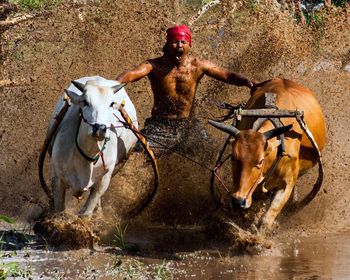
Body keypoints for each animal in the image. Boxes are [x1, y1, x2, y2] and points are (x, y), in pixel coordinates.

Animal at [48, 76, 138, 217]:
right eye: (85, 102)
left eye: (111, 103)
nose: (100, 128)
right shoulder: (57, 178)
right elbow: (58, 210)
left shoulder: (103, 180)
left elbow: (86, 213)